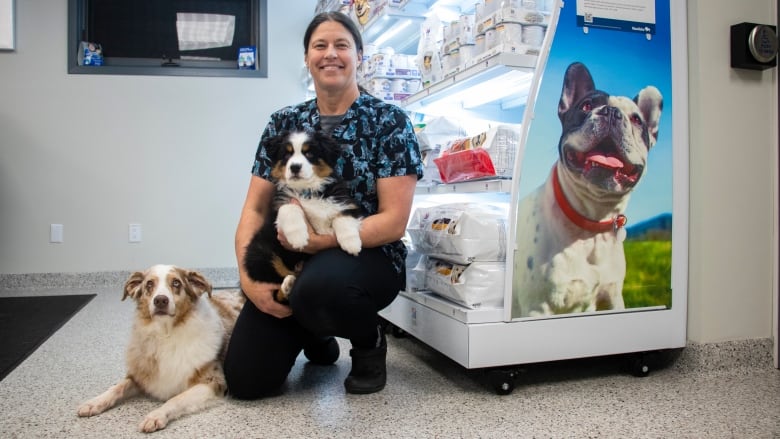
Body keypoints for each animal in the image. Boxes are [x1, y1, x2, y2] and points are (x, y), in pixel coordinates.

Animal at [77, 264, 244, 434]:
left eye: (176, 283)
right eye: (149, 284)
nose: (161, 300)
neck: (166, 334)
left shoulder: (213, 382)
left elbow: (176, 399)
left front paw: (156, 415)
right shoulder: (140, 375)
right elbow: (117, 387)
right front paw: (94, 402)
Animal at [244, 130, 366, 302]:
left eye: (309, 153)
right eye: (286, 155)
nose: (295, 167)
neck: (307, 190)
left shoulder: (346, 202)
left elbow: (343, 217)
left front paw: (352, 244)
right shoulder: (279, 205)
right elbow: (290, 208)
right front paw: (298, 238)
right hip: (260, 252)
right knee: (277, 290)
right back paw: (288, 285)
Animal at [512, 62, 664, 318]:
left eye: (636, 120)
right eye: (586, 106)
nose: (611, 112)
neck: (592, 221)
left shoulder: (613, 296)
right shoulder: (538, 308)